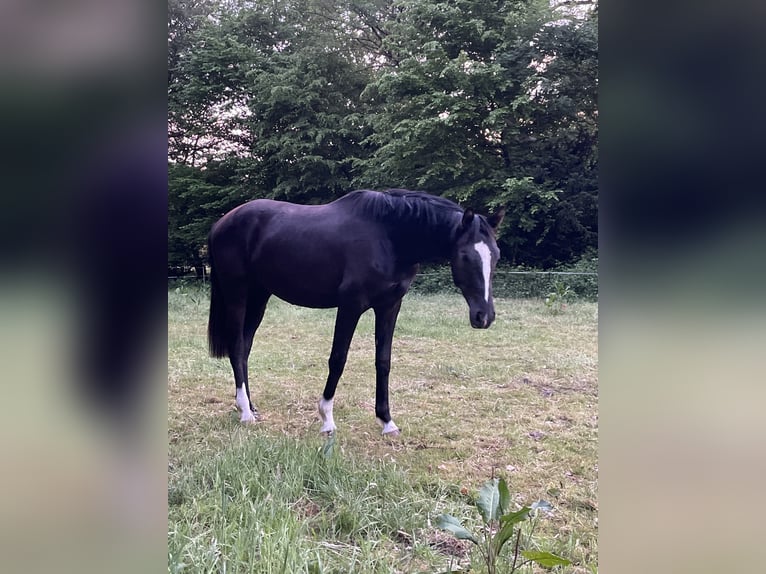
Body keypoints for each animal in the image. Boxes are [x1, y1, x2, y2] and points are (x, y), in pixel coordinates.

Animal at [207, 189, 504, 435]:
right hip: (237, 294)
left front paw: (387, 421)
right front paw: (327, 419)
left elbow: (383, 361)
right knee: (237, 347)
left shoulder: (389, 306)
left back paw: (250, 406)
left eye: (497, 255)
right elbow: (338, 359)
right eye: (465, 256)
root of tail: (221, 224)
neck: (390, 237)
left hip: (260, 296)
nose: (485, 316)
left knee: (245, 347)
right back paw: (245, 412)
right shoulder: (350, 305)